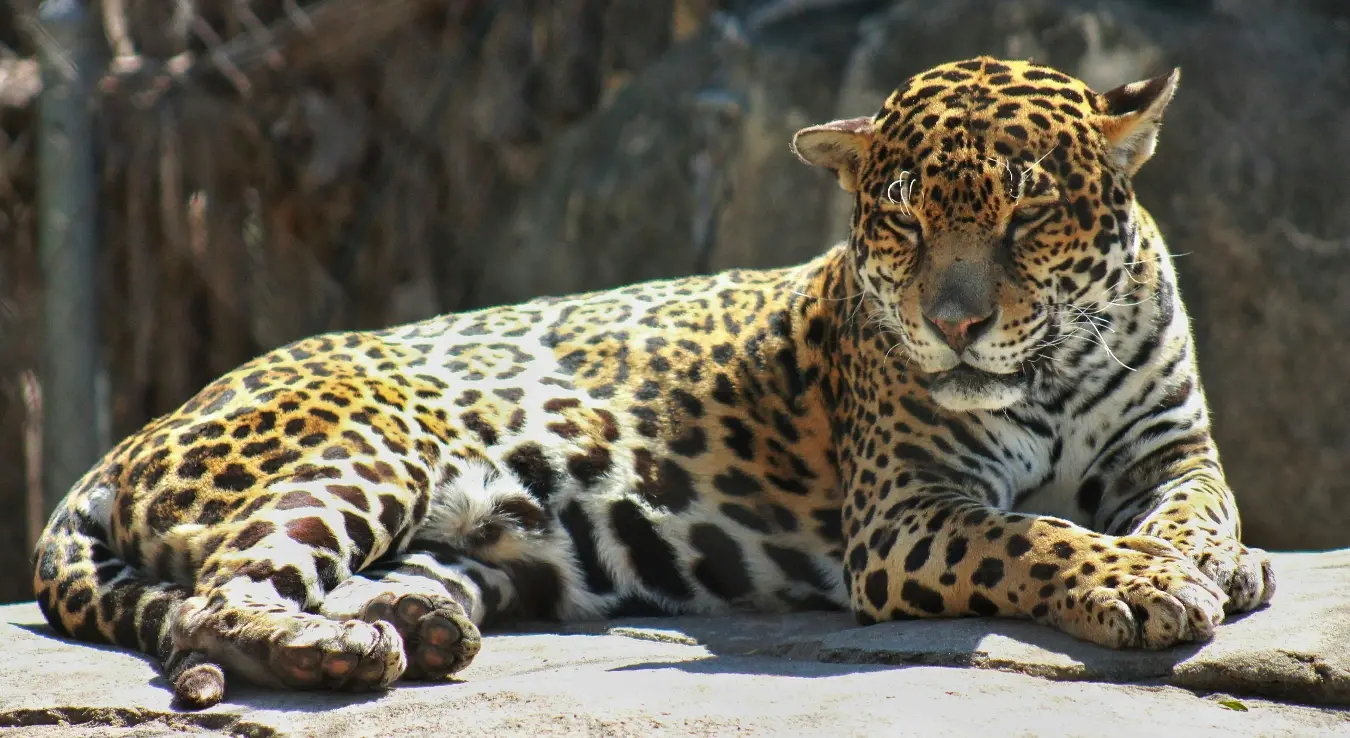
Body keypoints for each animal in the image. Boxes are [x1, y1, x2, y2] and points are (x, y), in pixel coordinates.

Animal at [32, 56, 1275, 710]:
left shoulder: (1170, 448)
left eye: (1028, 215)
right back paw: (343, 654)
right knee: (212, 599)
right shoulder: (906, 515)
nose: (954, 324)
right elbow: (1035, 536)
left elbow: (1200, 509)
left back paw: (417, 626)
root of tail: (126, 441)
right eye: (904, 222)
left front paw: (1217, 562)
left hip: (492, 544)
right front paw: (1141, 582)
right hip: (365, 444)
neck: (1054, 372)